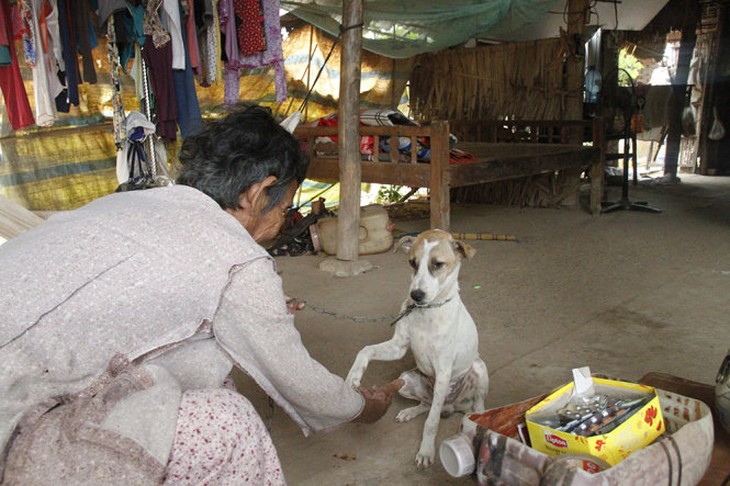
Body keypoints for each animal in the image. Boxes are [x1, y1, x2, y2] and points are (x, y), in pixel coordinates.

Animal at [344, 230, 486, 468]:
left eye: (438, 264)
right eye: (412, 262)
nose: (416, 295)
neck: (426, 312)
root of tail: (453, 406)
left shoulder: (443, 370)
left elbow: (431, 423)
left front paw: (426, 451)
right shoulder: (399, 346)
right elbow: (365, 350)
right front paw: (353, 377)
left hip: (478, 368)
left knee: (473, 403)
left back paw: (480, 417)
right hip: (405, 380)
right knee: (427, 404)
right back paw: (410, 411)